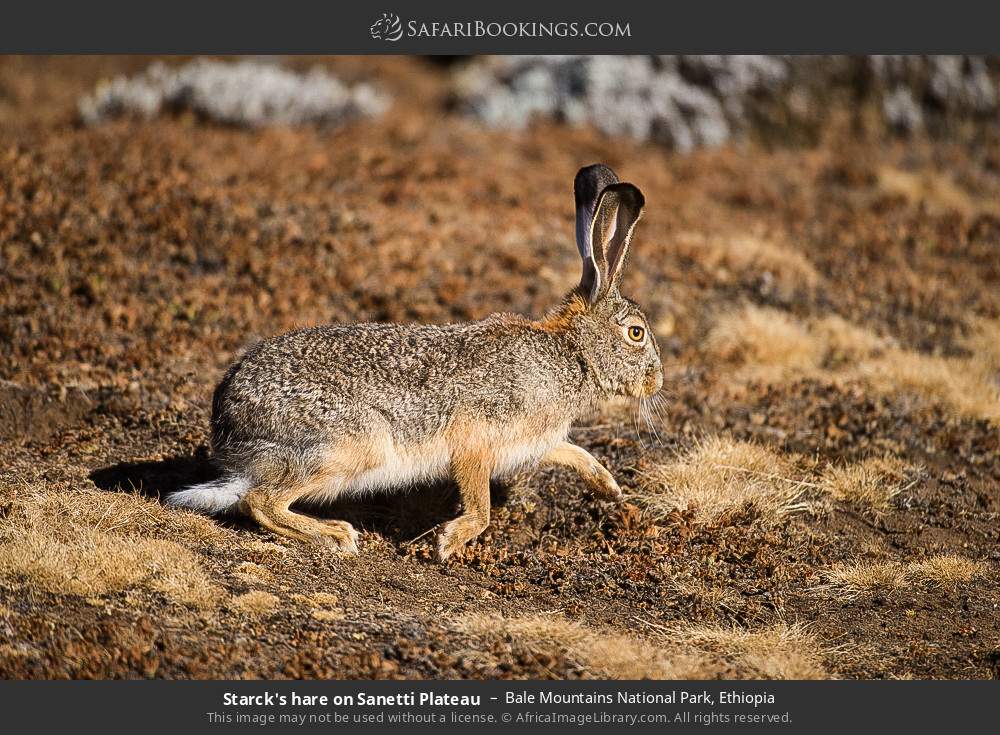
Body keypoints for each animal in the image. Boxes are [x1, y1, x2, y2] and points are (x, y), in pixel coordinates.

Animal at [166, 163, 663, 561]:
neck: (573, 353)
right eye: (636, 333)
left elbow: (573, 451)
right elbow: (481, 506)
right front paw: (448, 542)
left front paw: (611, 487)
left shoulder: (537, 441)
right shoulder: (476, 438)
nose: (657, 382)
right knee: (261, 502)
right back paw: (336, 535)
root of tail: (228, 430)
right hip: (353, 445)